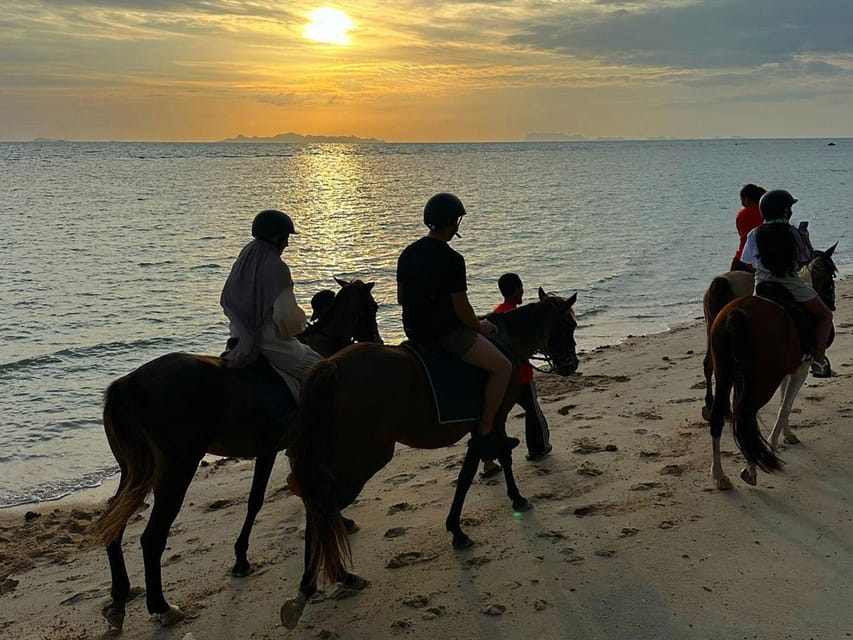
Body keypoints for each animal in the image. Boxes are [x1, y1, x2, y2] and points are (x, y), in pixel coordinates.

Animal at [92, 278, 380, 632]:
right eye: (373, 307)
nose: (377, 341)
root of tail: (128, 385)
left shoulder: (274, 449)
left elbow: (261, 499)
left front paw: (241, 558)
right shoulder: (287, 448)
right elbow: (278, 498)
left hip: (133, 471)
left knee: (112, 523)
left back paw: (119, 598)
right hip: (176, 469)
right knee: (152, 537)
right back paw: (162, 607)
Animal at [282, 288, 580, 632]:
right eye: (569, 326)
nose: (571, 364)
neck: (504, 343)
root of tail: (331, 367)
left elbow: (480, 466)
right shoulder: (492, 422)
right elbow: (481, 468)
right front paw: (485, 515)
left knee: (315, 505)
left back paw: (320, 581)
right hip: (365, 458)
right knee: (322, 507)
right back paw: (330, 578)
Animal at [704, 246, 840, 490]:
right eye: (831, 274)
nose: (831, 304)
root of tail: (736, 313)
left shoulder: (789, 368)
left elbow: (785, 400)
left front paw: (787, 434)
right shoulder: (801, 369)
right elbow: (785, 406)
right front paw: (774, 443)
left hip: (726, 371)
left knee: (720, 414)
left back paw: (719, 475)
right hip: (763, 380)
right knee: (745, 414)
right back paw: (751, 469)